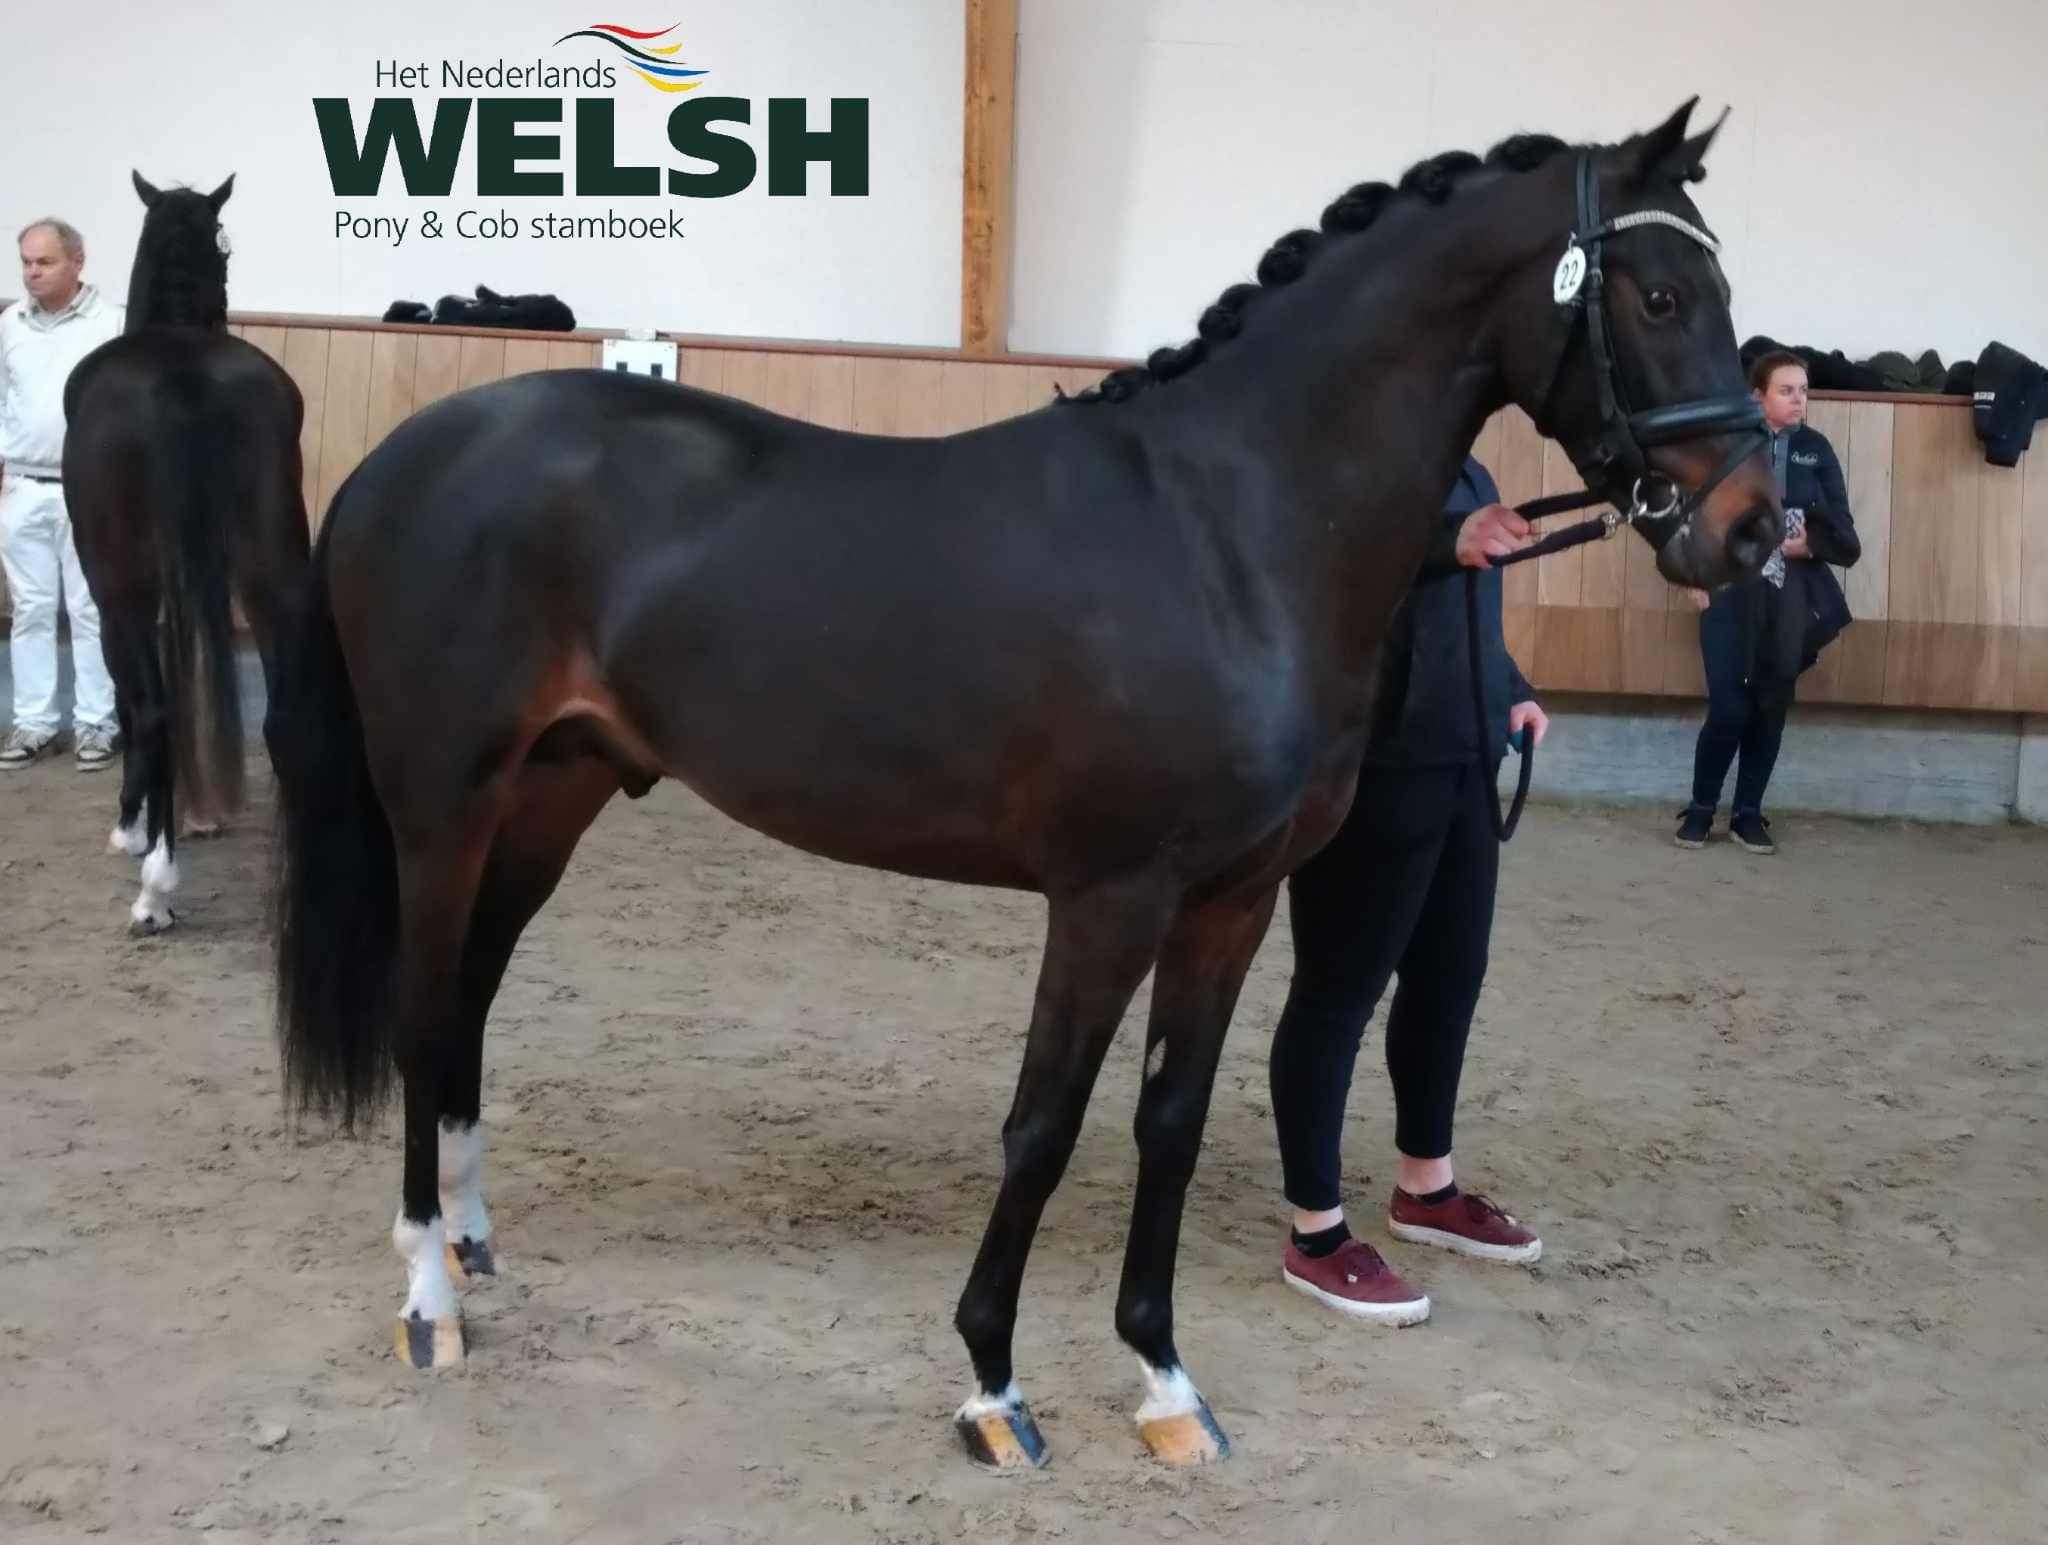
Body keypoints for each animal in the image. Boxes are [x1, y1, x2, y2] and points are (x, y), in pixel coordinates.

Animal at [63, 171, 310, 933]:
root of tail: (181, 376)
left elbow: (132, 705)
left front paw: (132, 828)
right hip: (272, 572)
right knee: (285, 714)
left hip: (122, 593)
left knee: (152, 711)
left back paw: (155, 889)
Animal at [270, 100, 1780, 1469]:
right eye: (1658, 294)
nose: (1752, 529)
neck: (1227, 530)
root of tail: (401, 457)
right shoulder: (1107, 899)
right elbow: (1042, 1127)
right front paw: (994, 1386)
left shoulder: (1228, 904)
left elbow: (1168, 1123)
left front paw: (1165, 1384)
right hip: (443, 810)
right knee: (423, 1014)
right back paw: (428, 1298)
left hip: (553, 798)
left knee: (470, 1004)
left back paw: (473, 1248)